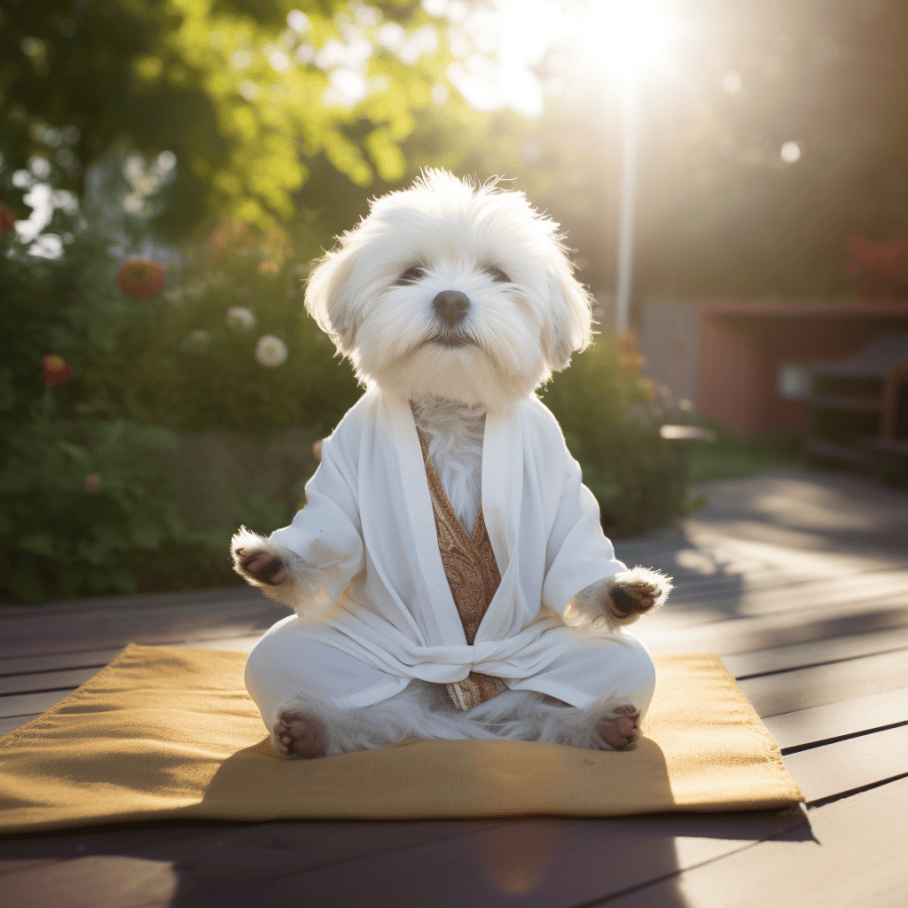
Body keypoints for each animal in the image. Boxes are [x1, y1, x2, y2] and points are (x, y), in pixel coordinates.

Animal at [232, 172, 672, 760]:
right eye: (411, 273)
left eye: (498, 275)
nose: (451, 299)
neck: (453, 409)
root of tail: (461, 711)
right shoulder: (341, 469)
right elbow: (331, 536)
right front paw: (277, 561)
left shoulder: (560, 477)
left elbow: (571, 556)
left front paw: (618, 593)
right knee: (314, 678)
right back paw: (313, 728)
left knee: (595, 679)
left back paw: (599, 723)